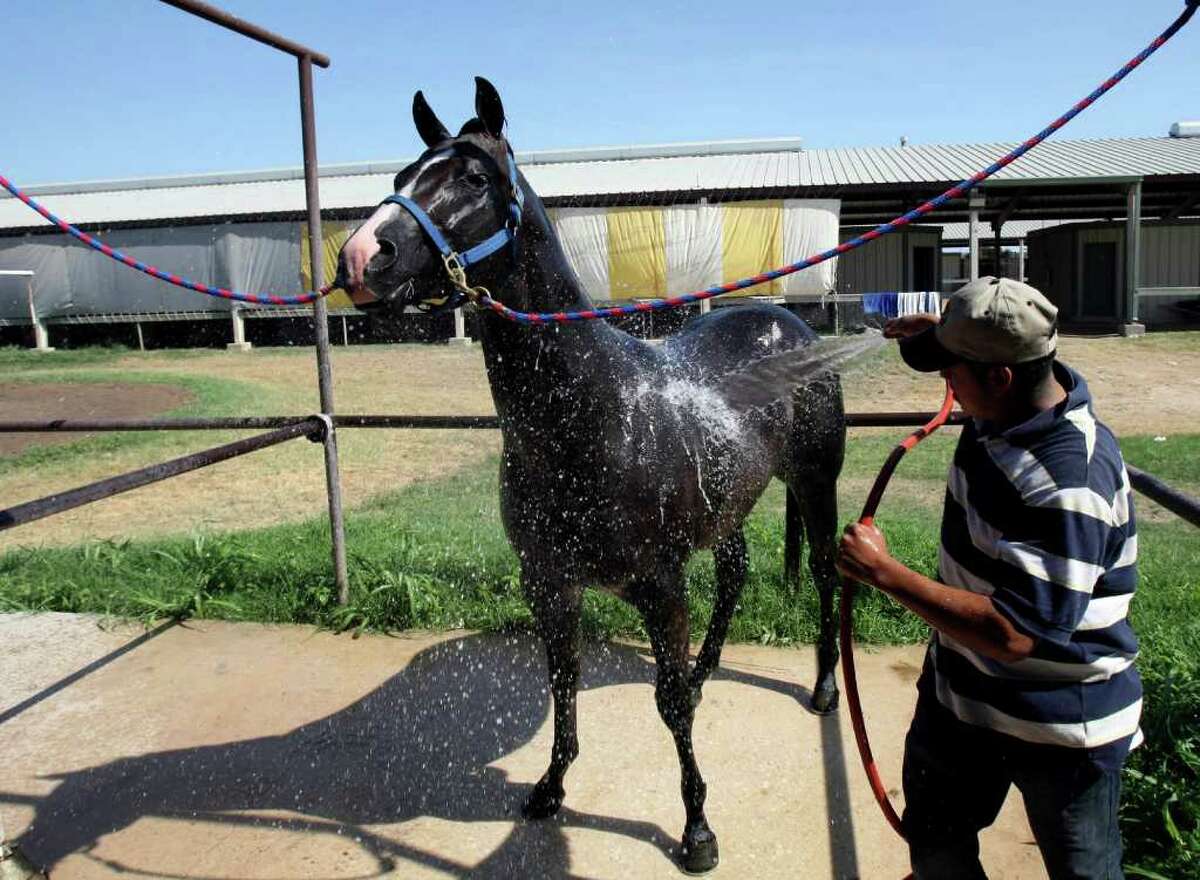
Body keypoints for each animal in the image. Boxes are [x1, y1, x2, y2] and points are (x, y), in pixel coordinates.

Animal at [333, 77, 849, 873]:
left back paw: (821, 688)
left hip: (815, 485)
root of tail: (790, 326)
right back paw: (708, 668)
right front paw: (550, 788)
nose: (363, 256)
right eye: (403, 175)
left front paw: (697, 830)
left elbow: (668, 704)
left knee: (823, 572)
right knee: (734, 573)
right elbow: (565, 683)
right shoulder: (549, 582)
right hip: (727, 507)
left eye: (474, 180)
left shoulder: (660, 585)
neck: (593, 414)